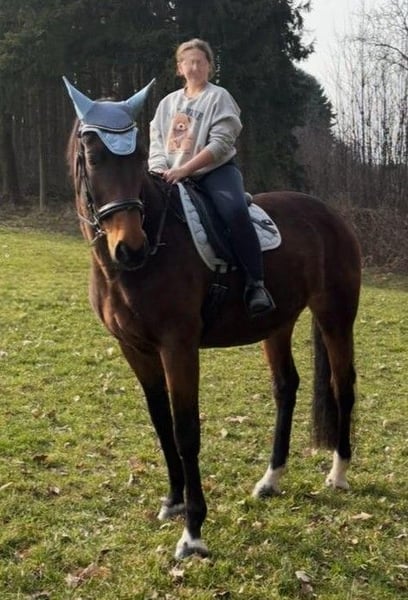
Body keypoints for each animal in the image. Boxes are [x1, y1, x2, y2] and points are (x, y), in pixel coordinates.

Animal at [63, 77, 361, 559]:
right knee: (286, 388)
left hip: (336, 315)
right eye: (92, 156)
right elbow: (161, 423)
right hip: (277, 325)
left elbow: (186, 431)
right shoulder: (135, 349)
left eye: (135, 154)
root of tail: (331, 215)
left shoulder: (179, 347)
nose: (130, 247)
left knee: (343, 386)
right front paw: (173, 502)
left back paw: (338, 473)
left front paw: (194, 531)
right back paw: (270, 479)